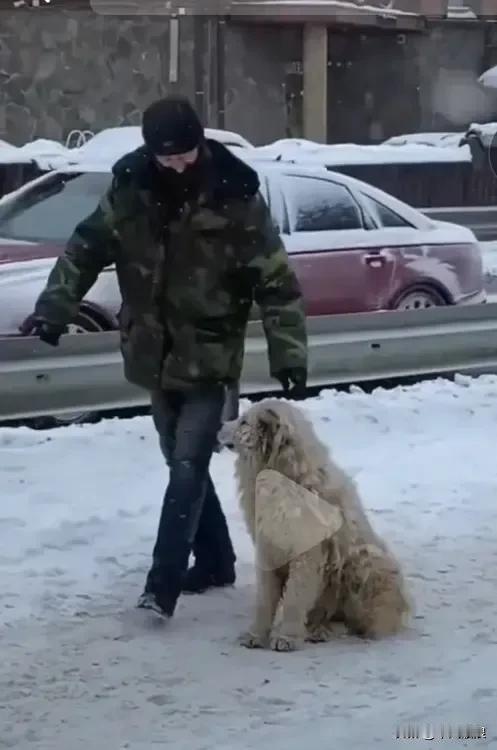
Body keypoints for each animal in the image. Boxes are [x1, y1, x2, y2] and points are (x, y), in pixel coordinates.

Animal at [219, 400, 408, 652]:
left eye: (243, 422)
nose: (220, 426)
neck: (284, 478)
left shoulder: (307, 555)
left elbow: (294, 598)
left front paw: (286, 638)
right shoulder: (268, 549)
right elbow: (264, 601)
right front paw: (255, 635)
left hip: (365, 563)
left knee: (354, 621)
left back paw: (325, 630)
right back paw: (317, 628)